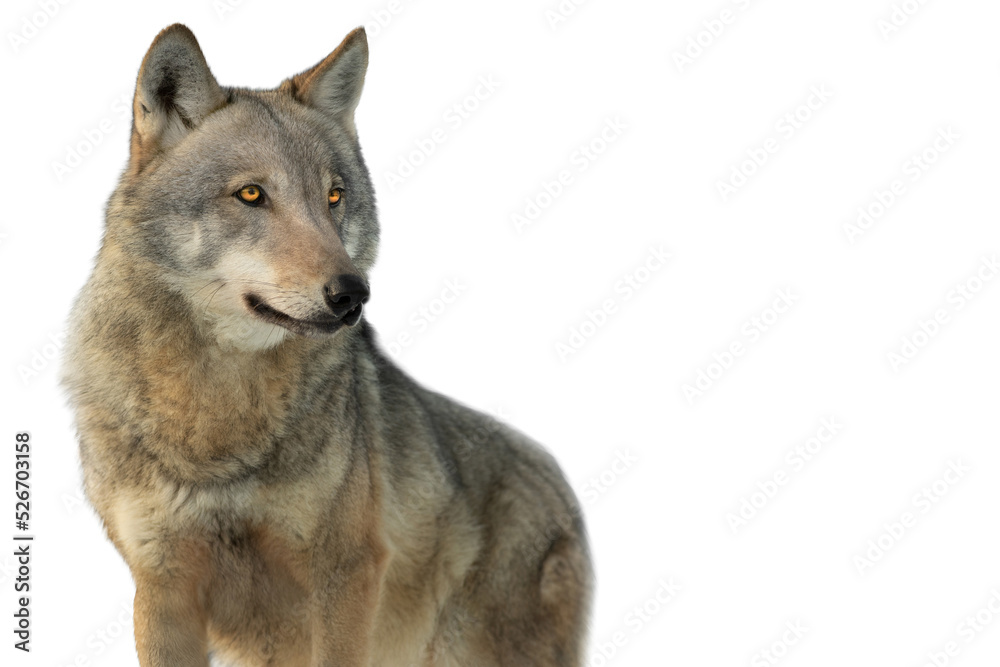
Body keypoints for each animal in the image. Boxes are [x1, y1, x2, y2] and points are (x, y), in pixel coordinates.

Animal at [61, 23, 592, 667]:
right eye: (251, 195)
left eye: (334, 197)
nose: (352, 293)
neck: (218, 411)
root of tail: (562, 485)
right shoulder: (161, 590)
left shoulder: (345, 575)